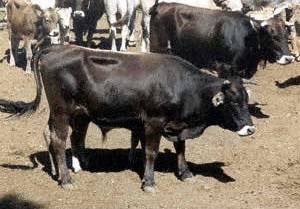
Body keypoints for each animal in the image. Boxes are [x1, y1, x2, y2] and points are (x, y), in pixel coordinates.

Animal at [0, 45, 254, 193]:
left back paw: (64, 169)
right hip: (62, 111)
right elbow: (151, 152)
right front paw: (149, 183)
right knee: (59, 140)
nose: (251, 129)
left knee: (53, 135)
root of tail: (56, 48)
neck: (185, 86)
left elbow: (181, 149)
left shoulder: (177, 124)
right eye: (233, 101)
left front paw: (186, 173)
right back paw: (66, 179)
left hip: (65, 113)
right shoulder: (153, 122)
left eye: (246, 99)